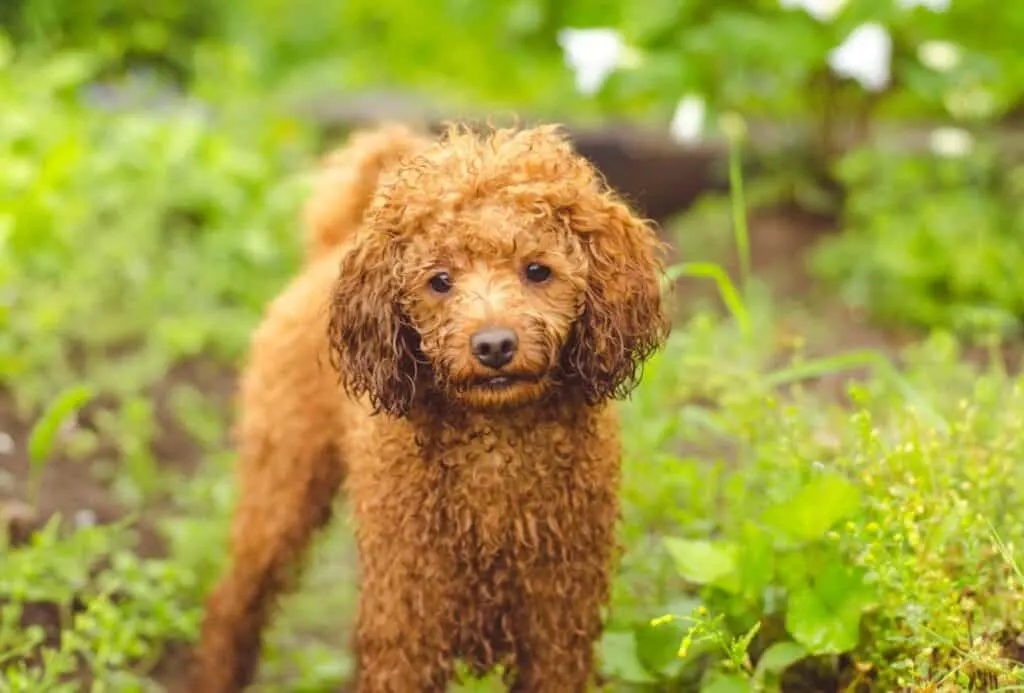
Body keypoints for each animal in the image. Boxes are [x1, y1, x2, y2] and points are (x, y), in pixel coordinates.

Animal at [194, 124, 667, 691]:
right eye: (439, 280)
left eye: (538, 270)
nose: (493, 345)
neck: (495, 457)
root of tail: (332, 246)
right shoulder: (409, 626)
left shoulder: (558, 629)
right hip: (282, 481)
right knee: (233, 603)